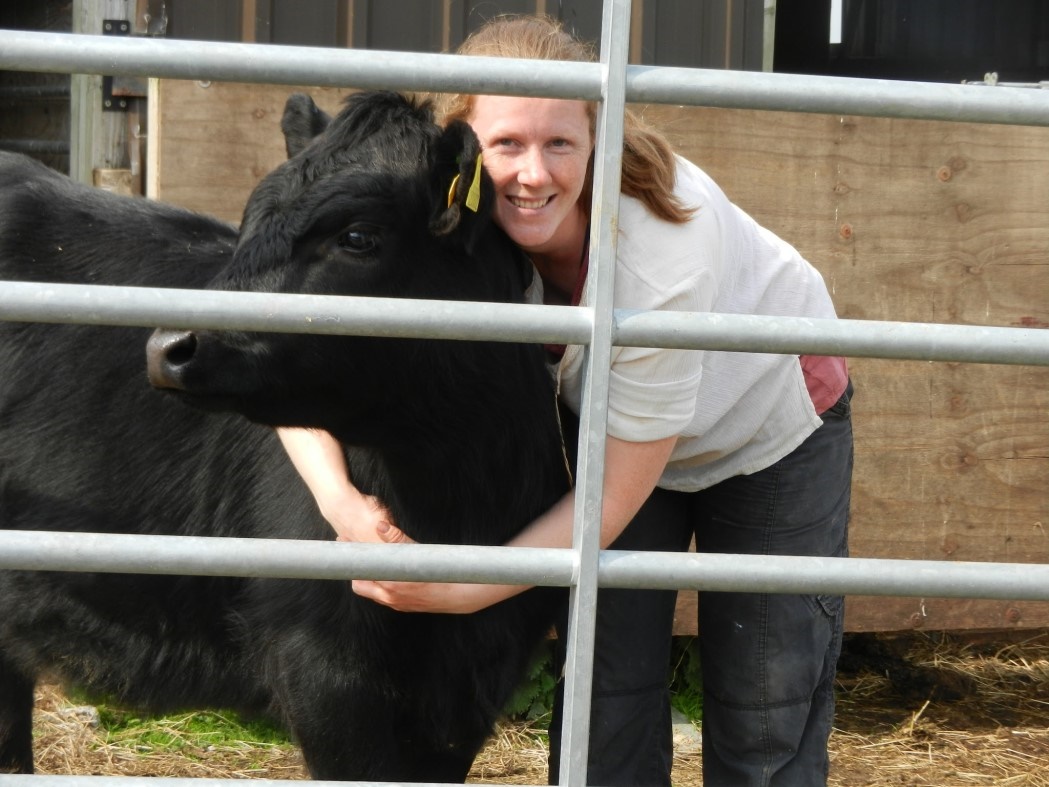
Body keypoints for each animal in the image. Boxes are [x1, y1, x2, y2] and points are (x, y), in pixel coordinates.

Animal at [0, 90, 574, 782]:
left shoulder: (474, 679)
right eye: (249, 222)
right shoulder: (324, 672)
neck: (452, 497)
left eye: (358, 236)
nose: (169, 346)